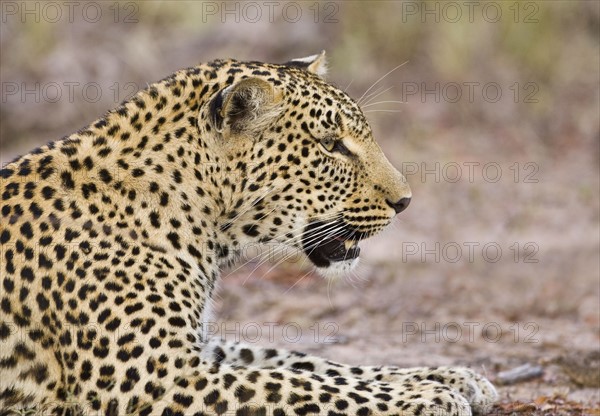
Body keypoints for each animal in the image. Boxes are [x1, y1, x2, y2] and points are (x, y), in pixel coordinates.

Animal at [0, 52, 496, 416]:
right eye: (330, 145)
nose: (405, 201)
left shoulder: (199, 349)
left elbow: (306, 361)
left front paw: (449, 377)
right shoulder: (153, 377)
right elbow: (296, 385)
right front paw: (428, 396)